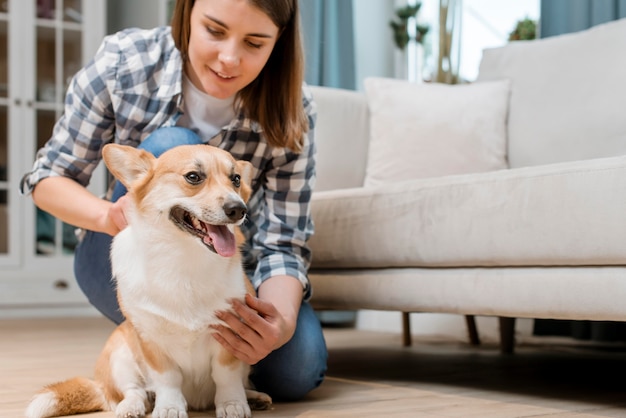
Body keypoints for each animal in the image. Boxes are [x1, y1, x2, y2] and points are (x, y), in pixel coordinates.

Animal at [26, 142, 270, 416]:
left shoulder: (230, 336)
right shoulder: (151, 339)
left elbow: (226, 376)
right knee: (134, 391)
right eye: (193, 177)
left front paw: (232, 404)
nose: (238, 209)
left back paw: (254, 397)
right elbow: (168, 379)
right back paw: (132, 406)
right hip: (119, 355)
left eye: (236, 179)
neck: (184, 257)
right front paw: (170, 407)